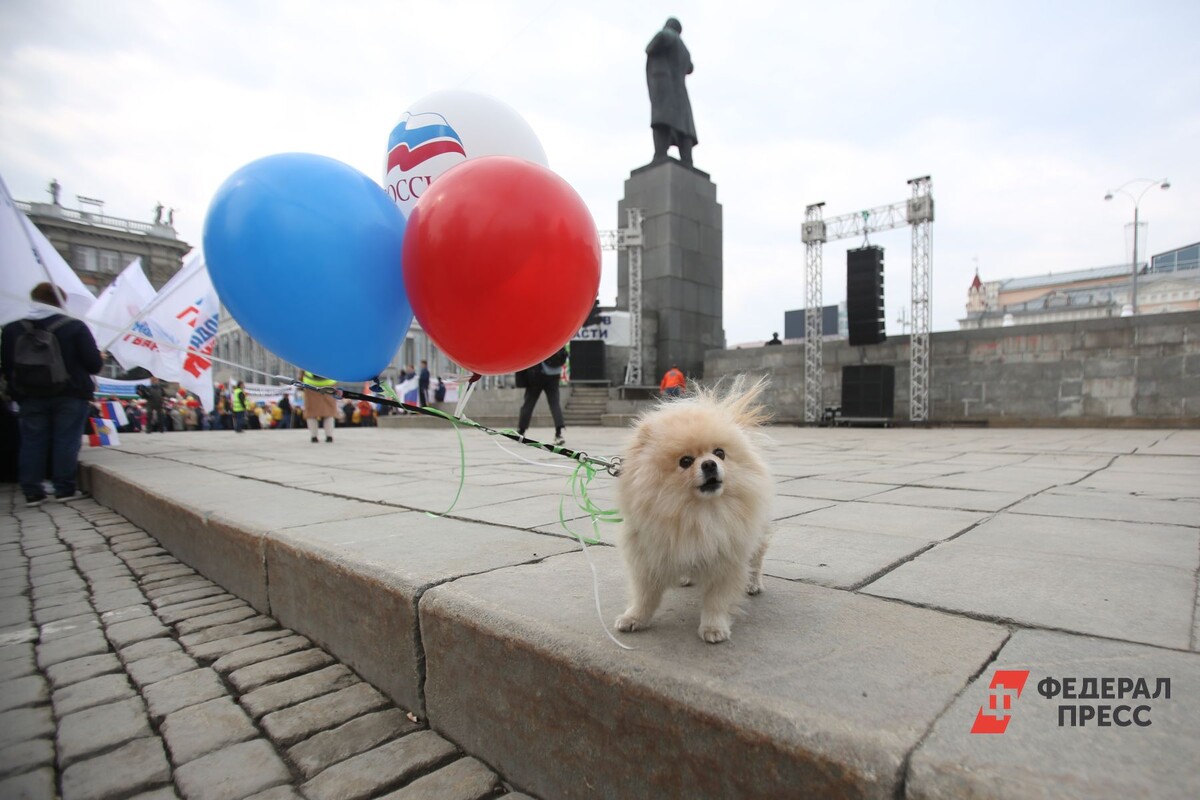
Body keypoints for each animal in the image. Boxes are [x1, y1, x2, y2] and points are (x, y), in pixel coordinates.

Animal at [614, 376, 772, 642]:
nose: (709, 464)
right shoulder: (649, 557)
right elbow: (645, 596)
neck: (697, 513)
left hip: (757, 535)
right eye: (685, 461)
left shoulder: (725, 561)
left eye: (720, 453)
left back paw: (753, 584)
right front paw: (634, 618)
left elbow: (716, 601)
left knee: (757, 559)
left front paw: (713, 628)